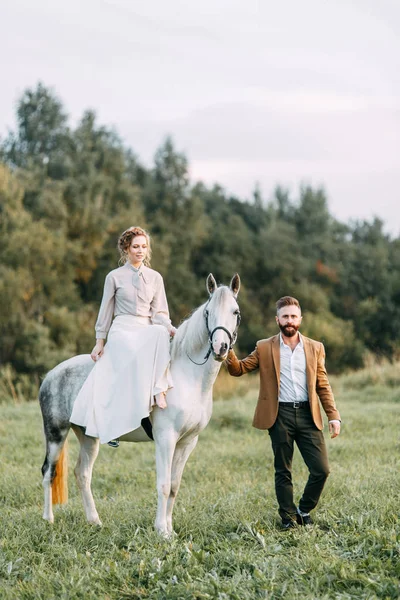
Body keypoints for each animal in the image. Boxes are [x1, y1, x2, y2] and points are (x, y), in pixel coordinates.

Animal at [39, 272, 241, 536]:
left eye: (235, 312)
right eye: (208, 312)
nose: (220, 348)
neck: (186, 377)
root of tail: (51, 375)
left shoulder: (188, 442)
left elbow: (174, 485)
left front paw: (170, 529)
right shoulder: (166, 438)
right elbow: (163, 485)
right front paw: (162, 531)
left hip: (88, 437)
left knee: (82, 473)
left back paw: (95, 521)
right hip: (55, 434)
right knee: (48, 473)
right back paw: (48, 519)